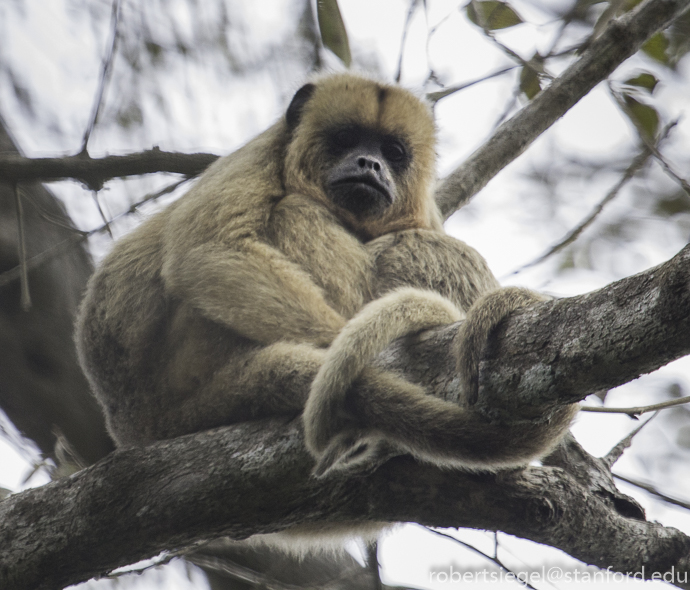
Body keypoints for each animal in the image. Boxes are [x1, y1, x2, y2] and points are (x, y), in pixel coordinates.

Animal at [75, 71, 576, 494]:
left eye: (393, 152)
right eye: (346, 139)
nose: (369, 163)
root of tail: (137, 421)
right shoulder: (258, 155)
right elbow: (207, 251)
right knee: (296, 211)